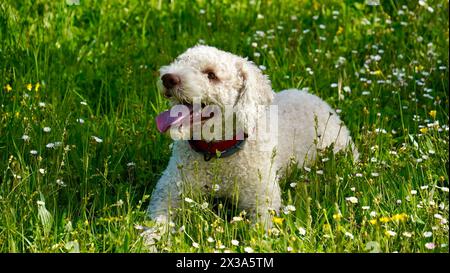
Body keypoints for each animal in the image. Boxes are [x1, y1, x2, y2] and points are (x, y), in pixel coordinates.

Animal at [148, 45, 358, 228]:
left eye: (211, 75)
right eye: (180, 61)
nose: (168, 78)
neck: (217, 153)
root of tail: (316, 98)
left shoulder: (264, 196)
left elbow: (260, 230)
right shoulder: (167, 191)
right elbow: (155, 224)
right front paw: (151, 242)